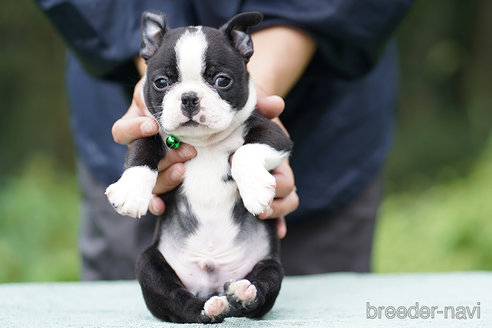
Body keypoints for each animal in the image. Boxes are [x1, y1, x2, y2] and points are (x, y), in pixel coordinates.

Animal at [105, 9, 292, 322]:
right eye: (161, 82)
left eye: (222, 81)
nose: (189, 97)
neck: (204, 143)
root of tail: (211, 285)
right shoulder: (148, 128)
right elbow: (141, 153)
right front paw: (132, 193)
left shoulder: (276, 134)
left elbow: (245, 152)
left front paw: (255, 190)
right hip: (149, 263)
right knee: (179, 301)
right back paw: (208, 308)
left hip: (272, 266)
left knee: (262, 290)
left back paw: (243, 293)